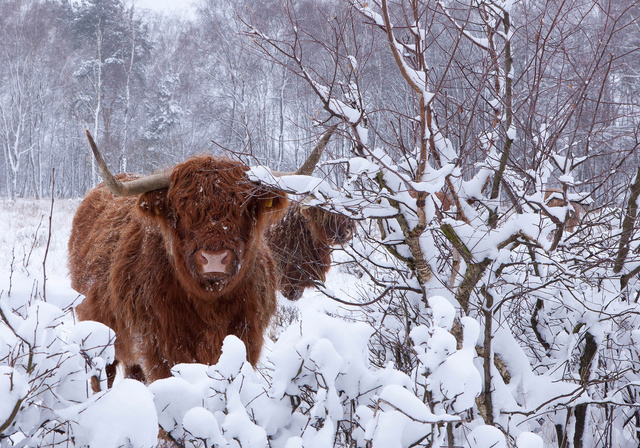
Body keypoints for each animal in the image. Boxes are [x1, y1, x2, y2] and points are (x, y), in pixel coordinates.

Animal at [69, 130, 332, 384]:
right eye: (180, 210)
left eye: (243, 207)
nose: (214, 258)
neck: (210, 306)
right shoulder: (160, 352)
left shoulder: (249, 342)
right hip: (97, 339)